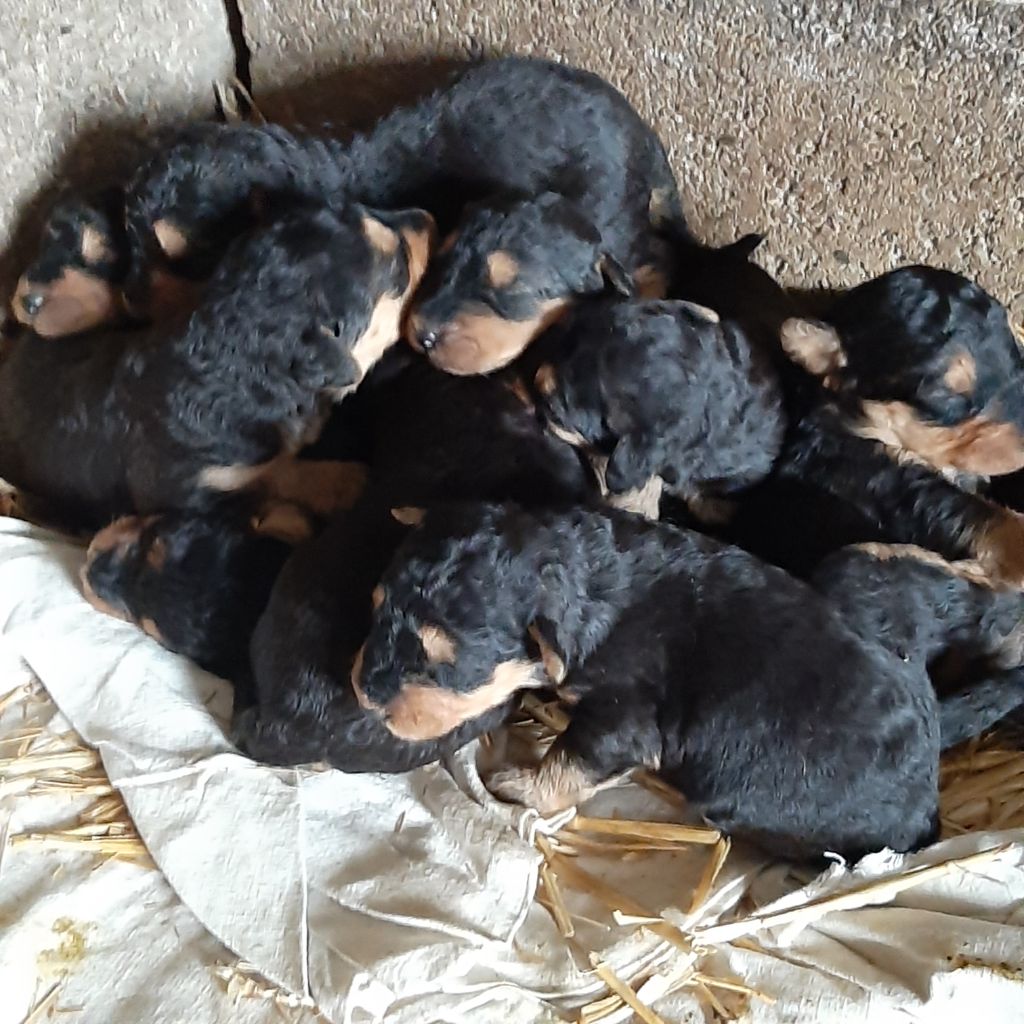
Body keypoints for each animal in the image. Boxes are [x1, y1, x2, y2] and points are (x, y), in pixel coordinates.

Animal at [354, 503, 1015, 864]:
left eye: (447, 662)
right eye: (375, 604)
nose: (364, 692)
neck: (590, 584)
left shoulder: (623, 717)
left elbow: (570, 763)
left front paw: (517, 783)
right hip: (855, 567)